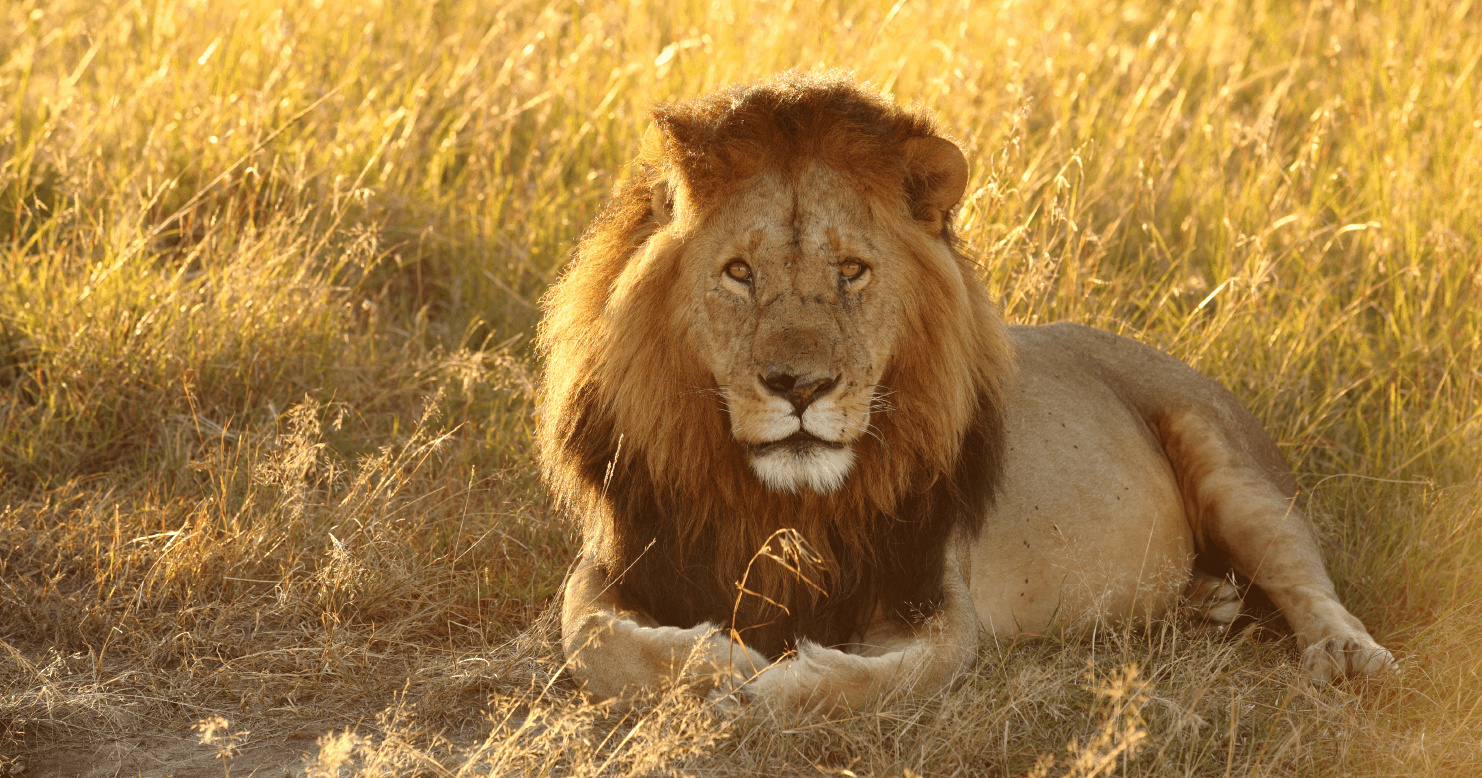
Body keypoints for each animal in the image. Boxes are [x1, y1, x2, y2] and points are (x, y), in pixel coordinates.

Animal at [539, 71, 1393, 708]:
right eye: (739, 273)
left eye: (852, 271)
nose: (800, 386)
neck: (788, 504)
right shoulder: (623, 554)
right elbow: (590, 638)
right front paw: (716, 662)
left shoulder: (938, 598)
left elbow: (882, 680)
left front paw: (770, 687)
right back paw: (1204, 599)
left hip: (1233, 466)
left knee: (1304, 573)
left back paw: (1348, 653)